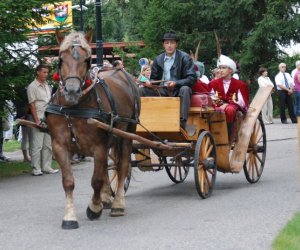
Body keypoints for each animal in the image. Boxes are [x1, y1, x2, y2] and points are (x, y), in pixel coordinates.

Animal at [46, 30, 141, 229]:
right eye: (61, 58)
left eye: (87, 59)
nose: (71, 91)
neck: (73, 109)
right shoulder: (59, 146)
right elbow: (68, 182)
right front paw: (69, 216)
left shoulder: (98, 146)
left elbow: (96, 180)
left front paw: (94, 208)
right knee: (107, 167)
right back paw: (106, 198)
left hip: (127, 132)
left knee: (122, 166)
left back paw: (117, 203)